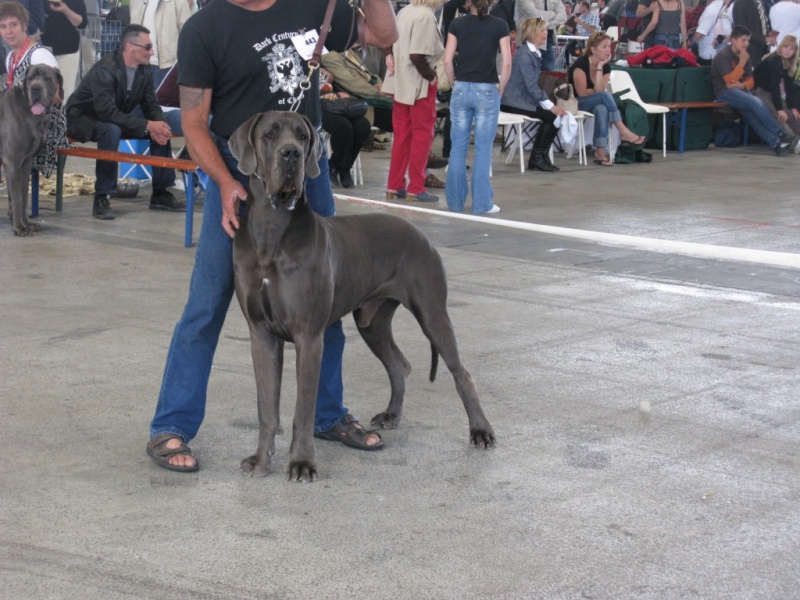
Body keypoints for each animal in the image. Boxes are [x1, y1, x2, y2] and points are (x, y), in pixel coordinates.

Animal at [228, 110, 496, 480]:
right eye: (269, 134)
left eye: (302, 136)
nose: (291, 154)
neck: (272, 227)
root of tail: (419, 233)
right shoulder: (261, 334)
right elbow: (266, 407)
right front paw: (260, 460)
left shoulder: (309, 336)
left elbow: (303, 410)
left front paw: (302, 462)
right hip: (373, 320)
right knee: (399, 364)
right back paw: (392, 415)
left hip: (433, 313)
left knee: (462, 374)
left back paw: (481, 431)